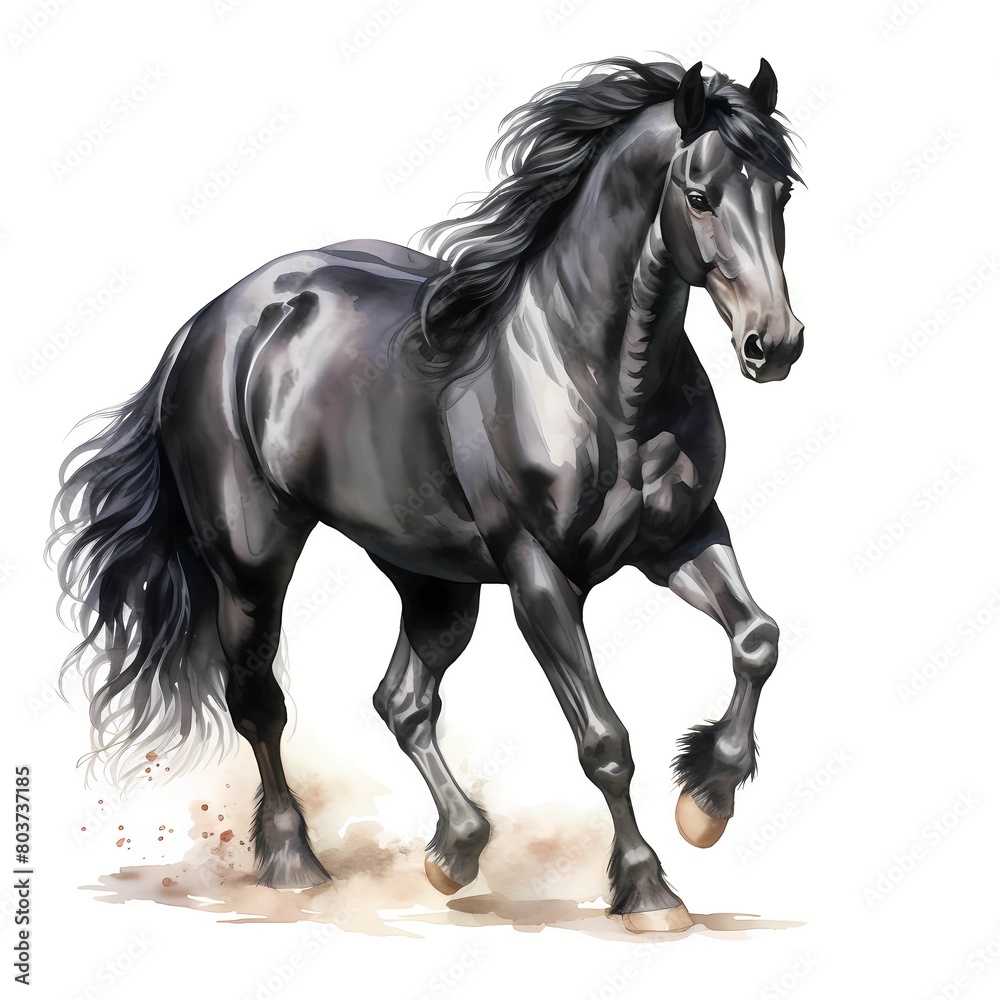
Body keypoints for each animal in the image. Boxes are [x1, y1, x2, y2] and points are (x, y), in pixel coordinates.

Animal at [49, 56, 804, 934]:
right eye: (699, 195)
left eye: (781, 195)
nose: (775, 345)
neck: (597, 378)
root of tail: (209, 325)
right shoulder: (541, 576)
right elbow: (604, 743)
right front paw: (651, 890)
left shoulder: (684, 538)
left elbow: (758, 639)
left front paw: (707, 800)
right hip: (251, 564)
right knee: (259, 701)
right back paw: (296, 865)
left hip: (434, 580)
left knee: (401, 700)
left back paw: (455, 851)